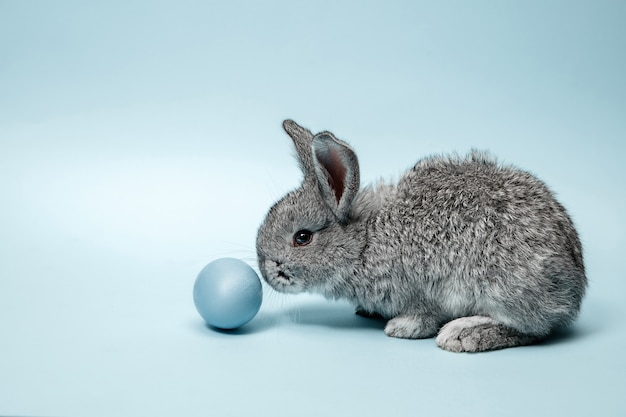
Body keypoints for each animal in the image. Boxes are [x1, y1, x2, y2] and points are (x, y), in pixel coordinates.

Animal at [255, 120, 584, 352]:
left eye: (302, 237)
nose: (267, 272)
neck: (365, 242)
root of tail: (574, 289)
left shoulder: (421, 290)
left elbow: (422, 316)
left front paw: (401, 328)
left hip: (503, 288)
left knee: (532, 329)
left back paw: (462, 334)